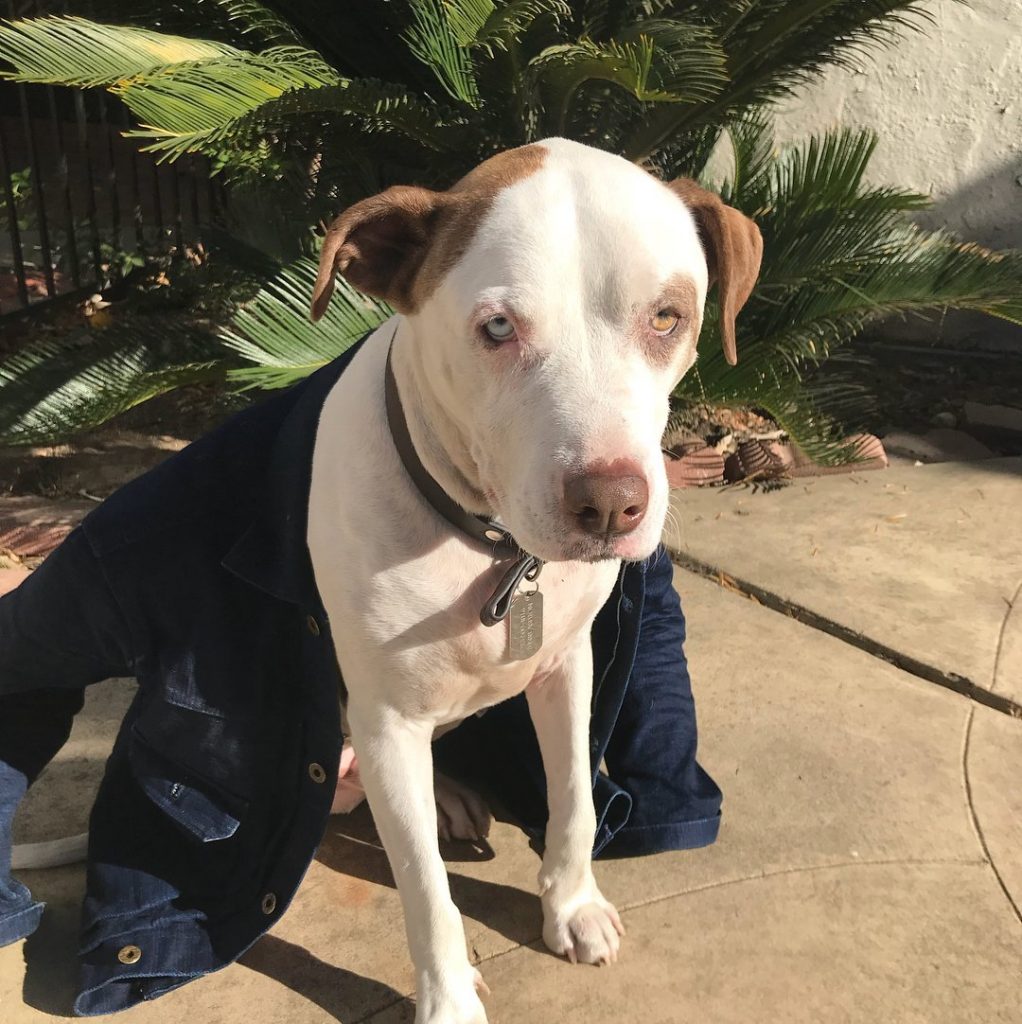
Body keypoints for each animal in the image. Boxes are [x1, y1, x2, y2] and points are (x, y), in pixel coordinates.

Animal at [303, 138, 761, 1024]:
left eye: (667, 316)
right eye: (497, 328)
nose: (610, 503)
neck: (491, 547)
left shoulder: (566, 665)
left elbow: (576, 799)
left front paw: (572, 907)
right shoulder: (385, 722)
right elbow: (426, 890)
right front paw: (448, 999)